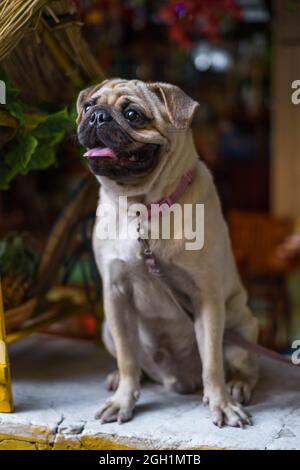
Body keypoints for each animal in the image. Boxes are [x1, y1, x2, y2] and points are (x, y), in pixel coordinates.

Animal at [77, 79, 258, 428]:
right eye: (89, 105)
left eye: (133, 115)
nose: (97, 116)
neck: (141, 208)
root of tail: (177, 379)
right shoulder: (115, 296)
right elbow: (128, 359)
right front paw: (123, 400)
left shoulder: (206, 298)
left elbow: (212, 363)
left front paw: (221, 404)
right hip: (108, 328)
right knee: (135, 365)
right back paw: (120, 379)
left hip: (240, 328)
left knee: (244, 366)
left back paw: (238, 386)